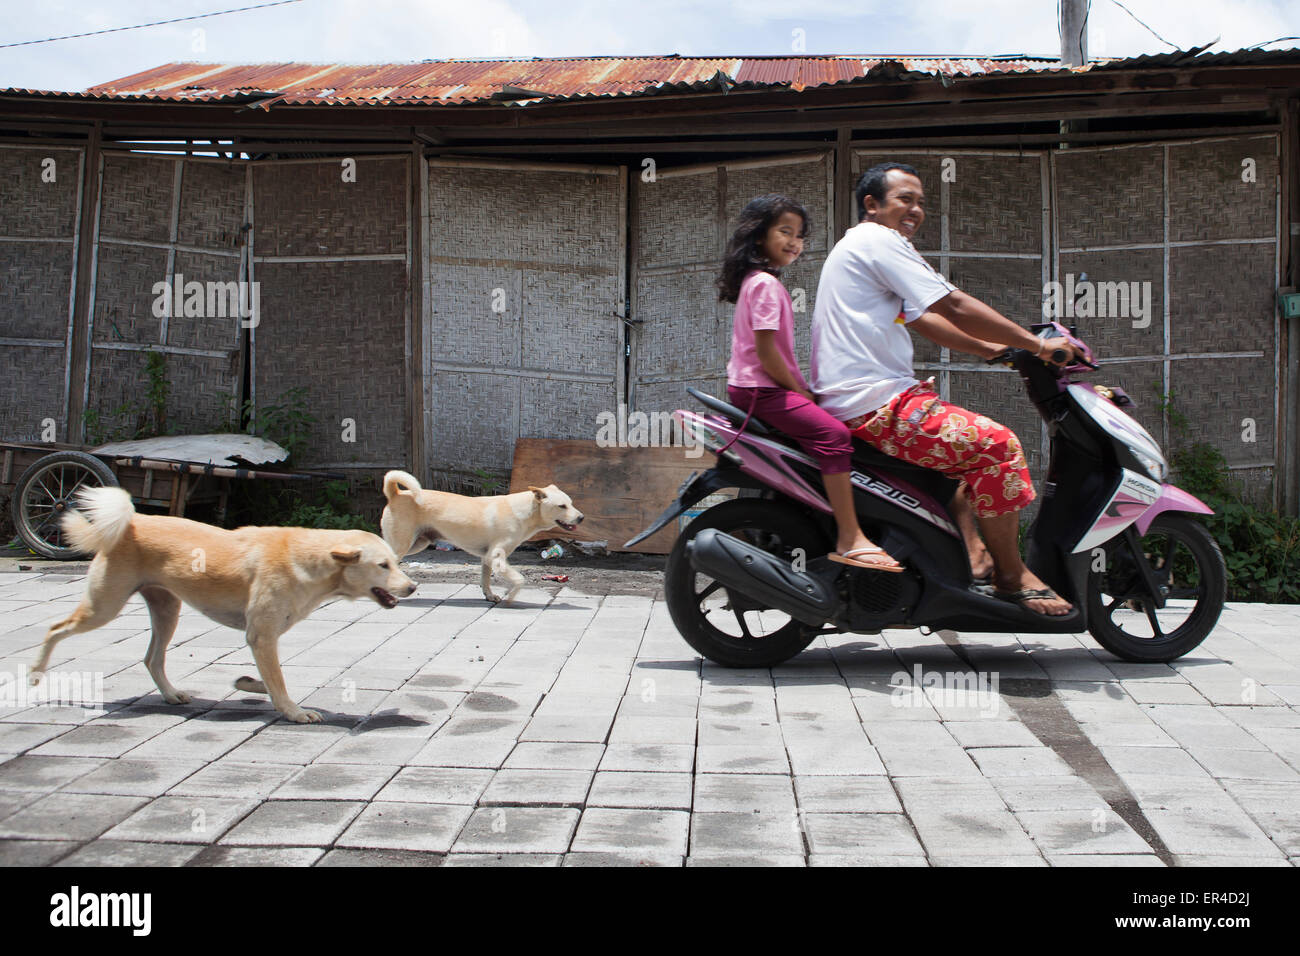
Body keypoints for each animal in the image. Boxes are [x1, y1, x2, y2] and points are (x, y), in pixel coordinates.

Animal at [29, 489, 416, 723]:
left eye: (396, 562)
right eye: (383, 565)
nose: (413, 587)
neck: (313, 559)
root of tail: (129, 523)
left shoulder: (262, 638)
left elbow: (269, 679)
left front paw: (248, 684)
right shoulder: (261, 636)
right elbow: (277, 680)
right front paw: (293, 711)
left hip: (166, 610)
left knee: (152, 658)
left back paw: (171, 694)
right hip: (104, 607)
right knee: (54, 629)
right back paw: (35, 674)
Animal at [379, 470, 585, 606]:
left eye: (571, 503)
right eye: (562, 506)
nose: (581, 517)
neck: (525, 511)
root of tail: (396, 493)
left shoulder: (487, 558)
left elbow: (485, 580)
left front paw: (490, 596)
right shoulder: (496, 556)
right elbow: (519, 579)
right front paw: (511, 596)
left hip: (418, 543)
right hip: (403, 544)